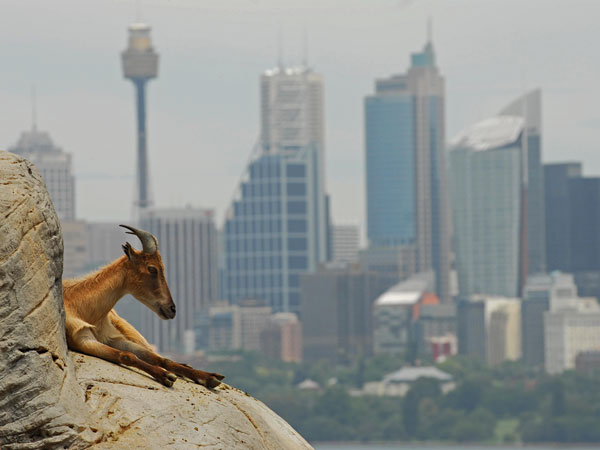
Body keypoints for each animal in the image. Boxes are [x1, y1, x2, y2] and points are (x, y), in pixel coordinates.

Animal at [62, 227, 225, 388]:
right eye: (152, 269)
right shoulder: (83, 340)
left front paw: (209, 377)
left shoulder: (113, 338)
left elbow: (160, 358)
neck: (84, 308)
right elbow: (127, 355)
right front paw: (165, 375)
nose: (172, 309)